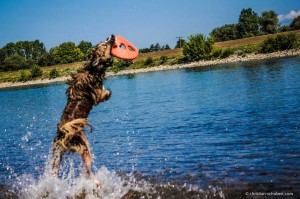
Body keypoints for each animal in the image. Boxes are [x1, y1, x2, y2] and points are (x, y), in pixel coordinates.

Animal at [51, 35, 115, 183]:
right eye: (105, 46)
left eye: (105, 41)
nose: (112, 36)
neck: (92, 68)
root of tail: (63, 133)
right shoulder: (97, 95)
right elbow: (104, 94)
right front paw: (108, 92)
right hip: (85, 148)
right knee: (88, 170)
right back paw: (96, 182)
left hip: (56, 155)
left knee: (54, 171)